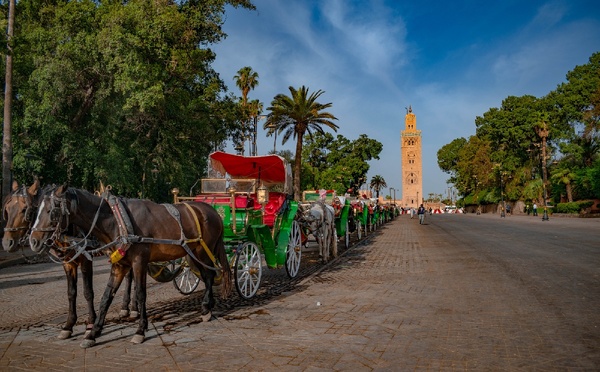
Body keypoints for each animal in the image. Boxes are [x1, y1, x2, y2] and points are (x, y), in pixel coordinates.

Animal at [2, 180, 137, 340]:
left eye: (24, 210)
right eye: (7, 210)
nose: (7, 243)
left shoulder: (86, 259)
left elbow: (87, 292)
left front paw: (90, 323)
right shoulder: (67, 263)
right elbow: (71, 293)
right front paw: (68, 325)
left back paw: (133, 308)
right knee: (129, 275)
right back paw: (125, 307)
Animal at [29, 185, 232, 348]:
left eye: (51, 210)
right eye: (36, 210)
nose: (33, 241)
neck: (117, 220)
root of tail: (212, 211)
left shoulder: (138, 261)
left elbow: (141, 293)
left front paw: (140, 330)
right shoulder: (118, 264)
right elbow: (105, 297)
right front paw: (93, 333)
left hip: (203, 251)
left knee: (210, 275)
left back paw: (207, 307)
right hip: (192, 254)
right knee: (206, 275)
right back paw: (206, 307)